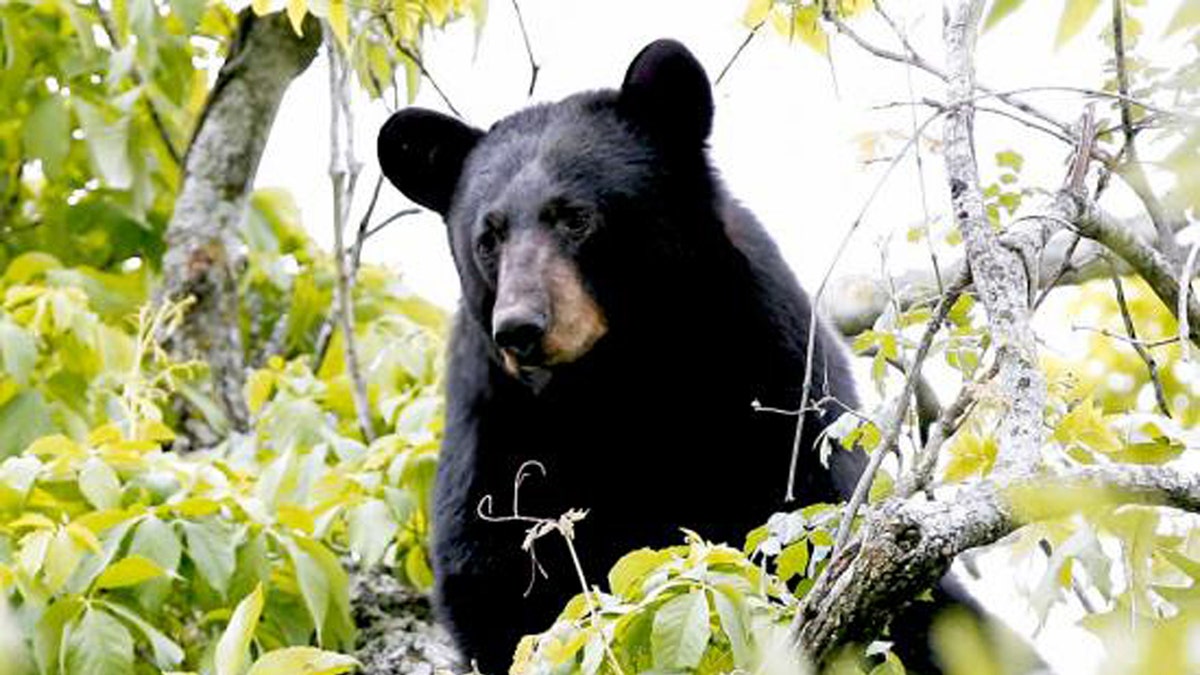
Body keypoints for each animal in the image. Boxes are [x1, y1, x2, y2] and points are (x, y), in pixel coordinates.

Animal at [379, 39, 868, 667]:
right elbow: (495, 582)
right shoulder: (494, 423)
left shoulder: (769, 364)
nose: (519, 328)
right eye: (488, 238)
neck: (619, 379)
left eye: (575, 217)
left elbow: (808, 505)